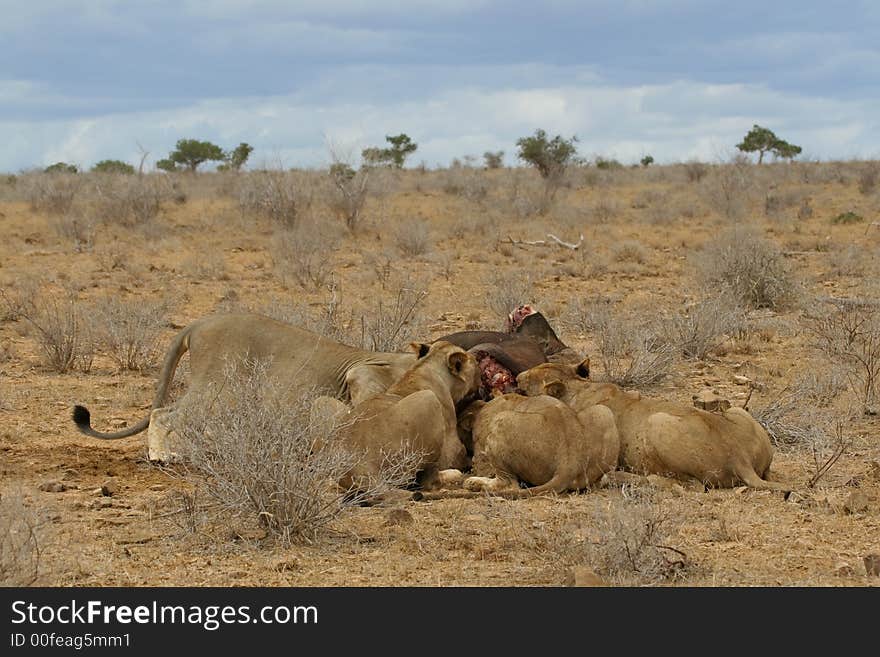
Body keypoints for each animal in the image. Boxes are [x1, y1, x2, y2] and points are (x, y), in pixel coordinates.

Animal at [312, 340, 482, 494]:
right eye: (475, 364)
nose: (480, 381)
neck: (426, 367)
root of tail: (358, 468)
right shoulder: (452, 451)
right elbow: (462, 457)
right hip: (428, 399)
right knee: (429, 481)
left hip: (321, 401)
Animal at [516, 358, 792, 492]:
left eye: (534, 374)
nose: (518, 376)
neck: (578, 389)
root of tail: (741, 459)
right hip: (736, 409)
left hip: (656, 422)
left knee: (683, 486)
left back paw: (615, 478)